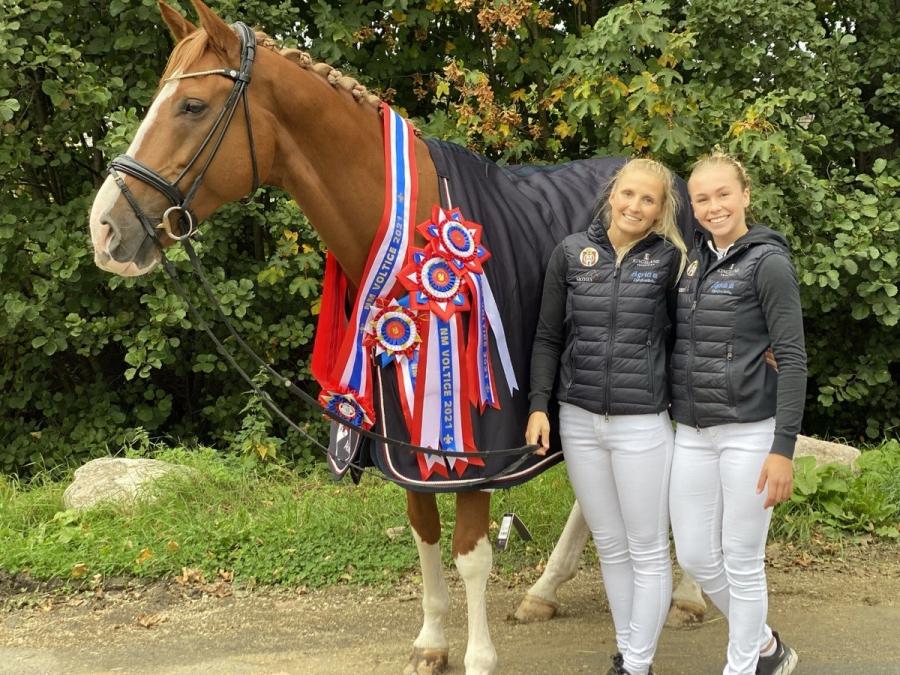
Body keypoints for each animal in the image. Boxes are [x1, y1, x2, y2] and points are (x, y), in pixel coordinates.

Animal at [88, 1, 699, 672]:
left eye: (192, 106)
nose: (105, 228)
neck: (411, 229)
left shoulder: (473, 446)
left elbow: (471, 554)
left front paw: (478, 656)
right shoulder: (404, 439)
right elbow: (424, 531)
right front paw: (431, 643)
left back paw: (688, 595)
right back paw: (545, 590)